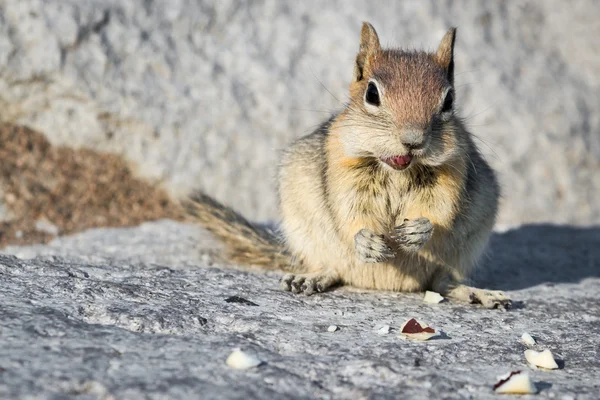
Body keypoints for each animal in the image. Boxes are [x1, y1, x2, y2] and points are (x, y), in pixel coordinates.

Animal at [183, 21, 510, 310]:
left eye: (449, 100)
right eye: (372, 94)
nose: (413, 140)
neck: (396, 169)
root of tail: (385, 285)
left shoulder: (452, 168)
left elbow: (440, 208)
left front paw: (419, 229)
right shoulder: (344, 166)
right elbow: (350, 211)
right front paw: (366, 240)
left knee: (441, 282)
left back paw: (479, 294)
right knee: (335, 269)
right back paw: (311, 278)